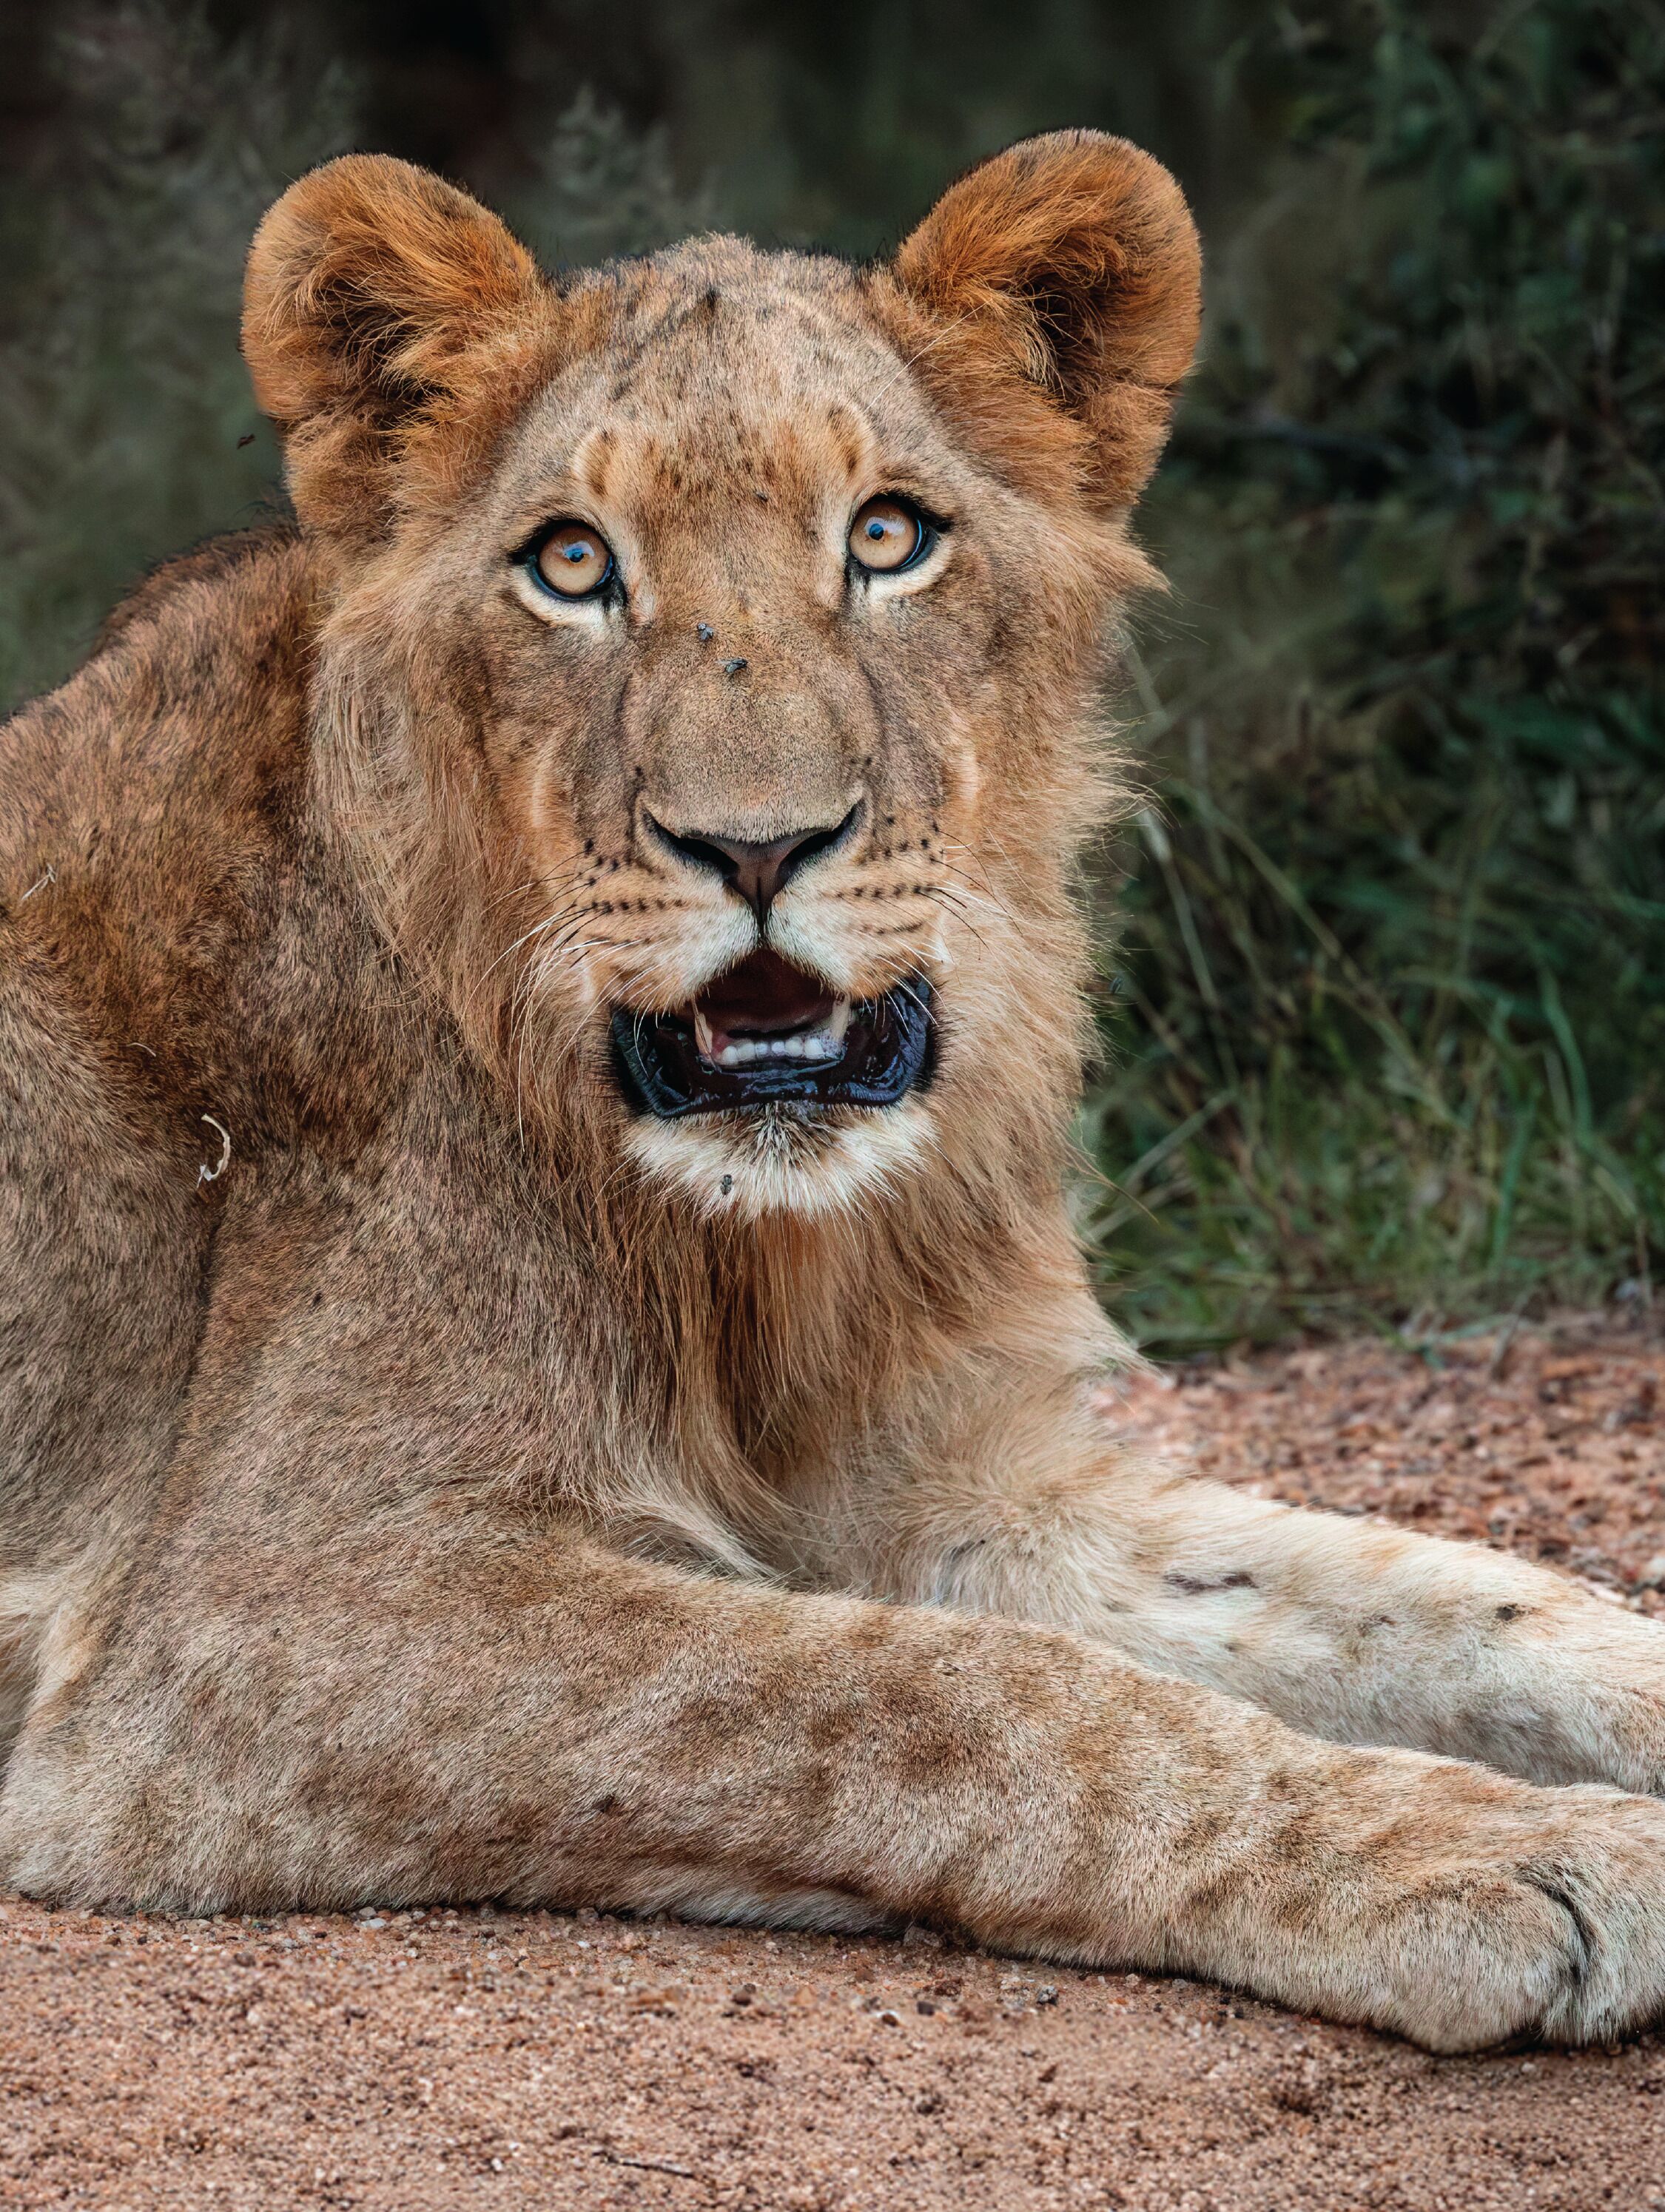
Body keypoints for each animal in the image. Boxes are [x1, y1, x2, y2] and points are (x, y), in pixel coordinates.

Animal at [2, 134, 1663, 2055]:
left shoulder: (940, 1479)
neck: (759, 1261)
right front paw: (1507, 1853)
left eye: (887, 536)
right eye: (570, 562)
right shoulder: (254, 1616)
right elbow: (964, 1698)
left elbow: (1429, 1590)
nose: (756, 845)